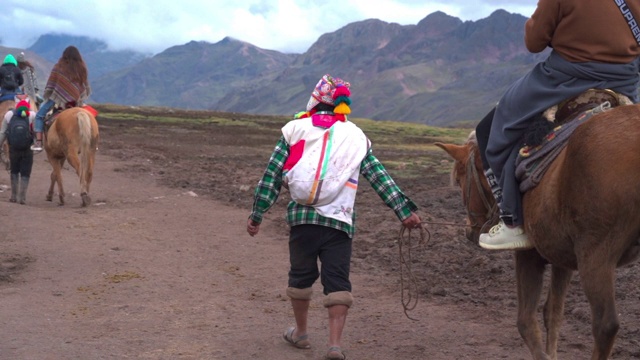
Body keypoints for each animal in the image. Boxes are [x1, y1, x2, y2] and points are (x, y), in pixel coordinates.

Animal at [436, 104, 640, 360]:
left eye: (459, 178)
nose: (469, 231)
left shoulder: (528, 254)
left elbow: (525, 321)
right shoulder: (563, 259)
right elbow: (553, 313)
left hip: (596, 257)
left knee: (606, 325)